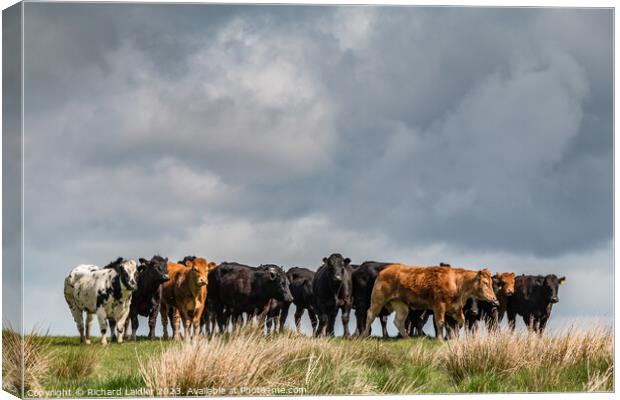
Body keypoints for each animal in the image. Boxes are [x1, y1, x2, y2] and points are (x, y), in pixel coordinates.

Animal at [364, 264, 498, 340]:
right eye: (485, 283)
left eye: (491, 283)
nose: (494, 299)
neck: (457, 282)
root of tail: (384, 271)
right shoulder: (439, 305)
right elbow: (440, 322)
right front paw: (440, 338)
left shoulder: (455, 308)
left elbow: (461, 321)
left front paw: (453, 336)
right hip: (378, 299)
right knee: (370, 314)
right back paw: (364, 335)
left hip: (402, 306)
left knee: (398, 321)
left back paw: (407, 338)